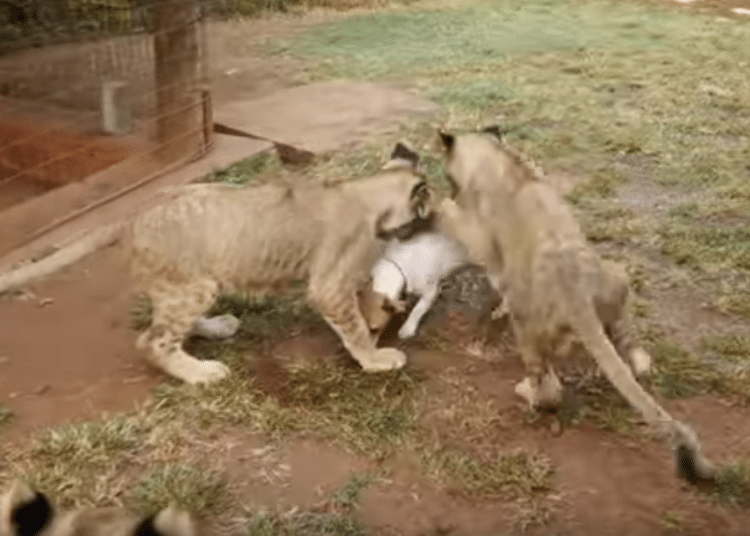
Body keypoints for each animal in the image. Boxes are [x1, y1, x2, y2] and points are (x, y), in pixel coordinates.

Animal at [125, 142, 436, 385]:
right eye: (428, 210)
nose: (434, 225)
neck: (364, 192)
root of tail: (135, 221)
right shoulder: (329, 288)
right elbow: (355, 327)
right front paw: (374, 359)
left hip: (192, 284)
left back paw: (217, 327)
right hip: (192, 286)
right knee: (151, 342)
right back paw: (202, 373)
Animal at [435, 126, 718, 486]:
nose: (450, 188)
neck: (499, 159)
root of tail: (577, 295)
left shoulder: (482, 242)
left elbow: (456, 219)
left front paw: (436, 201)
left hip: (527, 323)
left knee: (549, 391)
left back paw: (527, 391)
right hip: (617, 276)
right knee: (629, 349)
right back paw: (628, 361)